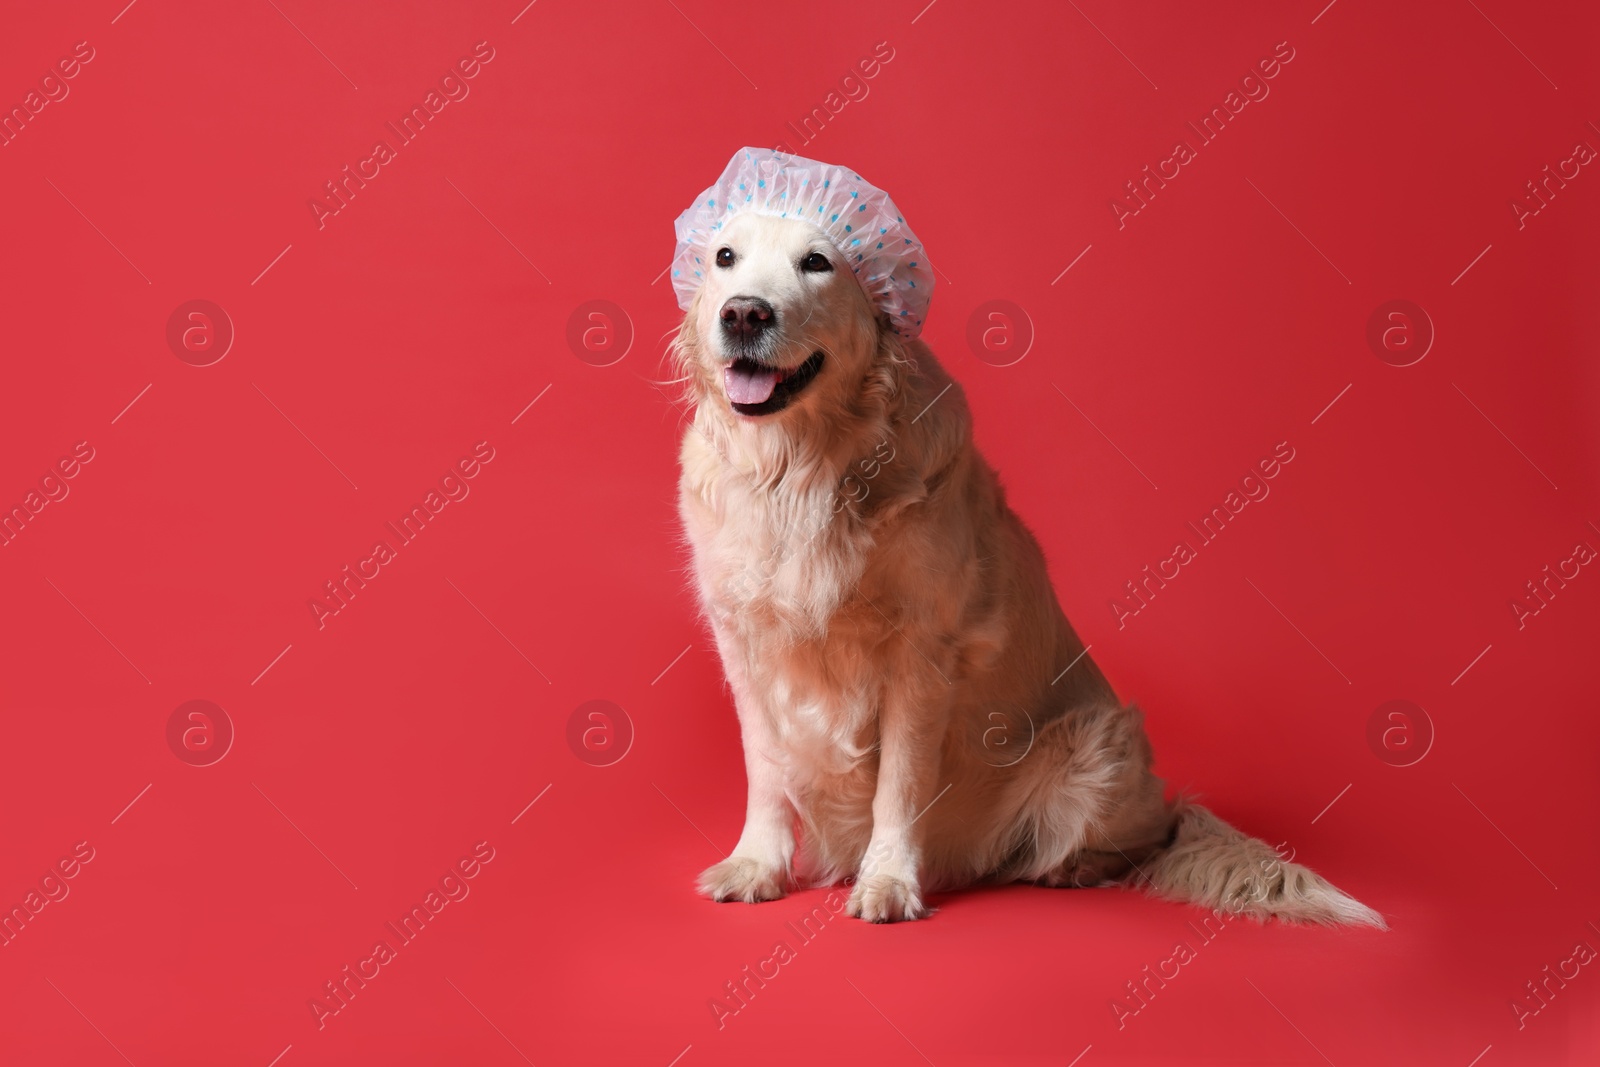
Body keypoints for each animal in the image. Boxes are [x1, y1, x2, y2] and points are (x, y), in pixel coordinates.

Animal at [668, 191, 1382, 927]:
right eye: (725, 257)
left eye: (817, 263)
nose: (745, 312)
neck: (800, 468)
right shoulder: (745, 644)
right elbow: (767, 769)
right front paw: (758, 864)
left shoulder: (921, 655)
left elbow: (899, 782)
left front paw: (888, 880)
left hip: (1100, 741)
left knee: (1151, 839)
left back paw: (1070, 867)